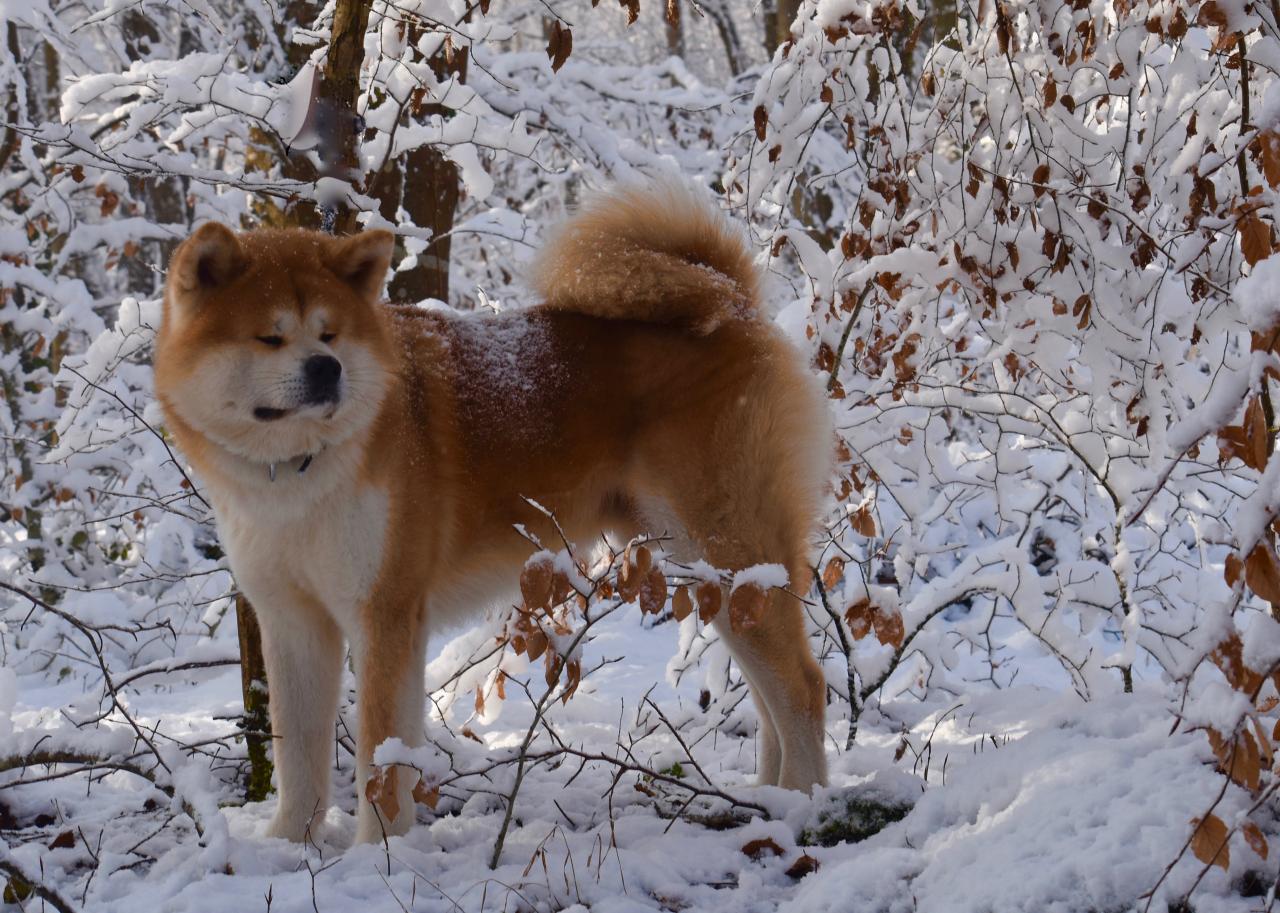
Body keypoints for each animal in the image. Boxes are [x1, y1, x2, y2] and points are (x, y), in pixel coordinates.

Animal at [152, 181, 829, 845]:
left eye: (330, 334)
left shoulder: (385, 615)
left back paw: (804, 807)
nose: (326, 368)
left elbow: (381, 755)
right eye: (269, 336)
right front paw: (290, 847)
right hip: (713, 577)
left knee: (803, 687)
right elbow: (299, 756)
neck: (303, 474)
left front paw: (378, 855)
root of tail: (733, 301)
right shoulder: (294, 622)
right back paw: (767, 802)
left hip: (729, 552)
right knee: (769, 701)